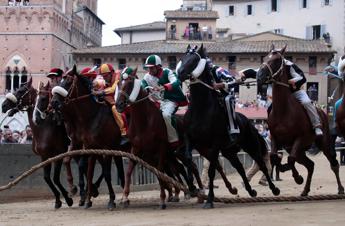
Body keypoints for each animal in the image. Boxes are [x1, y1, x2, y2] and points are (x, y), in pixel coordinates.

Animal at [1, 78, 73, 208]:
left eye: (21, 91)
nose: (4, 105)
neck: (43, 129)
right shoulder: (44, 156)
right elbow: (46, 178)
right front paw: (58, 200)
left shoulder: (59, 154)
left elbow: (55, 178)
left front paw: (67, 198)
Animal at [49, 65, 125, 210]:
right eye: (60, 80)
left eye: (68, 81)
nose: (54, 102)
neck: (91, 116)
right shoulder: (84, 144)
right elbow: (75, 164)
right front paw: (76, 190)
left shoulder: (105, 147)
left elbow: (105, 172)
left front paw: (110, 200)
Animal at [176, 44, 278, 208]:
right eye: (183, 57)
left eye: (194, 60)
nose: (179, 73)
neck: (201, 109)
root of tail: (247, 121)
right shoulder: (190, 139)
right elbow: (188, 158)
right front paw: (192, 187)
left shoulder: (214, 145)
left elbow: (211, 171)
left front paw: (209, 199)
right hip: (229, 151)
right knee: (240, 168)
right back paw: (250, 190)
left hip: (251, 145)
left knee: (261, 163)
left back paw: (273, 189)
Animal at [256, 44, 342, 196]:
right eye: (265, 58)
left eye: (276, 60)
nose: (259, 76)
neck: (283, 110)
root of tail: (322, 112)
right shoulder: (275, 138)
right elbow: (274, 157)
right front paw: (285, 169)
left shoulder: (300, 138)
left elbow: (290, 160)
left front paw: (297, 177)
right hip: (297, 148)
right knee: (310, 165)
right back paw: (305, 190)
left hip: (324, 142)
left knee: (333, 163)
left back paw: (340, 188)